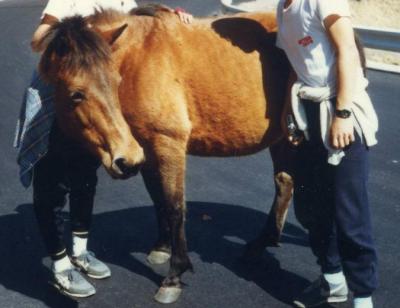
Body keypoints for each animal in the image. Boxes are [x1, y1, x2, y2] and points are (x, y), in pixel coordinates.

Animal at [38, 7, 294, 304]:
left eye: (116, 82)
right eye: (76, 94)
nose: (121, 160)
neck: (139, 58)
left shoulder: (168, 144)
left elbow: (174, 206)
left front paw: (174, 275)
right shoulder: (145, 150)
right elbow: (158, 198)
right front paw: (161, 248)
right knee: (285, 183)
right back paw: (260, 244)